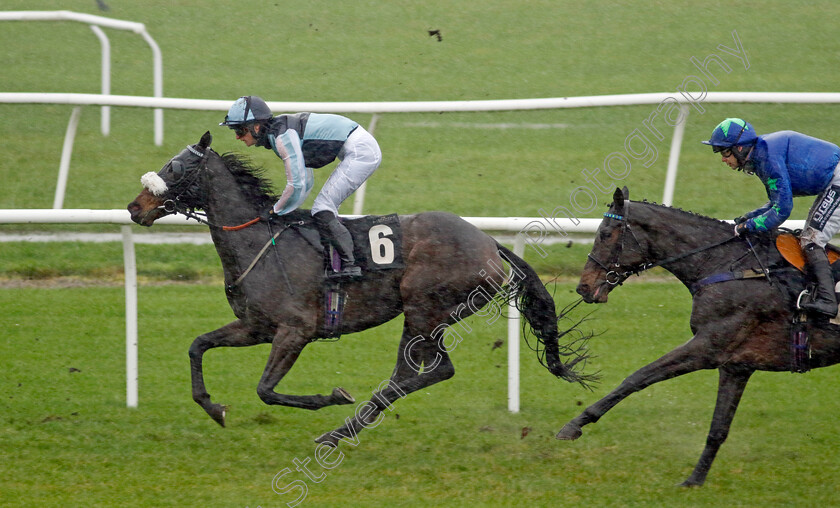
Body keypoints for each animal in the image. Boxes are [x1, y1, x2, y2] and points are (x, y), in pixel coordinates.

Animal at [126, 132, 592, 444]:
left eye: (175, 167)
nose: (134, 207)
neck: (259, 243)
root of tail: (490, 244)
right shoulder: (255, 327)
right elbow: (198, 346)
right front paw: (214, 407)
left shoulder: (295, 330)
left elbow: (266, 390)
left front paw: (331, 396)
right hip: (425, 317)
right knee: (420, 372)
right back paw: (345, 429)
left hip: (424, 310)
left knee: (428, 370)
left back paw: (339, 430)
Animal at [556, 186, 840, 484]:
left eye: (605, 233)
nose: (583, 287)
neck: (731, 267)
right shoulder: (736, 365)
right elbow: (718, 428)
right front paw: (694, 480)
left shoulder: (708, 347)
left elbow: (638, 377)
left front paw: (575, 424)